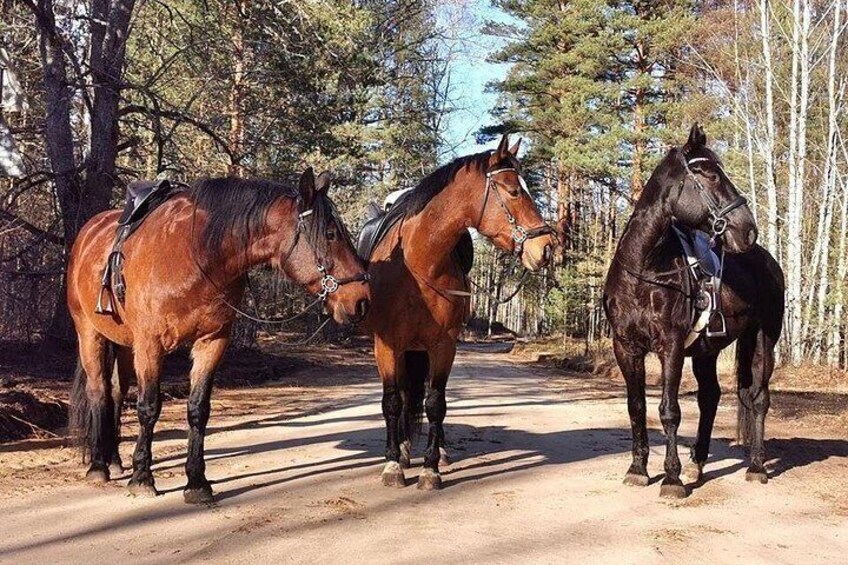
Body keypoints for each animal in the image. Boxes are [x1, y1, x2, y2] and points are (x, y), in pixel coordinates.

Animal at [67, 168, 371, 504]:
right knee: (98, 392)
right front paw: (143, 477)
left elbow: (198, 409)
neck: (197, 255)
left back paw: (114, 460)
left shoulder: (212, 342)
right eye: (330, 234)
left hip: (122, 344)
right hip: (89, 334)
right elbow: (148, 407)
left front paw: (196, 481)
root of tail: (88, 234)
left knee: (116, 394)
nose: (361, 299)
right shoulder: (150, 345)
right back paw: (98, 465)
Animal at [363, 135, 556, 490]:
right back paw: (403, 450)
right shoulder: (387, 346)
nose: (546, 247)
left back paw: (437, 452)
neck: (419, 264)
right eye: (514, 191)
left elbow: (436, 403)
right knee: (404, 397)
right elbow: (392, 402)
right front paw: (393, 464)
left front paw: (430, 469)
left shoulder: (444, 346)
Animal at [603, 124, 785, 499]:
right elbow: (637, 408)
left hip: (763, 340)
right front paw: (638, 469)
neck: (644, 270)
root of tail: (767, 260)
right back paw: (697, 463)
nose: (748, 229)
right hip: (706, 351)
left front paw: (671, 479)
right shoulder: (626, 348)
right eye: (712, 175)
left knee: (759, 399)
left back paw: (757, 467)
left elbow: (669, 411)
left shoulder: (670, 348)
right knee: (710, 397)